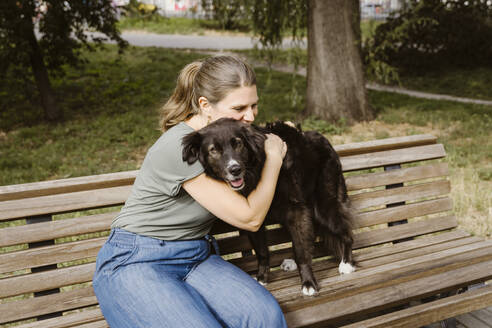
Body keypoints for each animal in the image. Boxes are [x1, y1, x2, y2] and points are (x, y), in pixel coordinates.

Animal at [183, 118, 356, 298]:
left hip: (323, 206)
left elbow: (301, 250)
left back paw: (347, 263)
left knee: (346, 233)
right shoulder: (254, 217)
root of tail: (324, 139)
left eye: (238, 144)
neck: (257, 170)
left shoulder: (296, 210)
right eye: (213, 150)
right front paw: (262, 277)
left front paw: (308, 283)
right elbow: (262, 251)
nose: (235, 169)